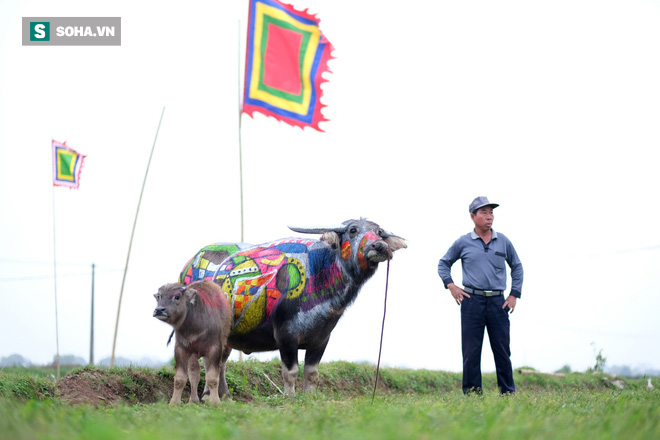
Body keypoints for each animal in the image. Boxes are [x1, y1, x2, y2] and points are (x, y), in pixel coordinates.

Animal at [183, 218, 404, 398]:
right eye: (353, 230)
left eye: (380, 232)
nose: (380, 246)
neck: (319, 274)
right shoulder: (286, 335)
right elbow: (290, 372)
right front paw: (289, 398)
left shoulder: (321, 339)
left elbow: (312, 374)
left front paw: (309, 398)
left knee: (219, 362)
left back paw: (223, 397)